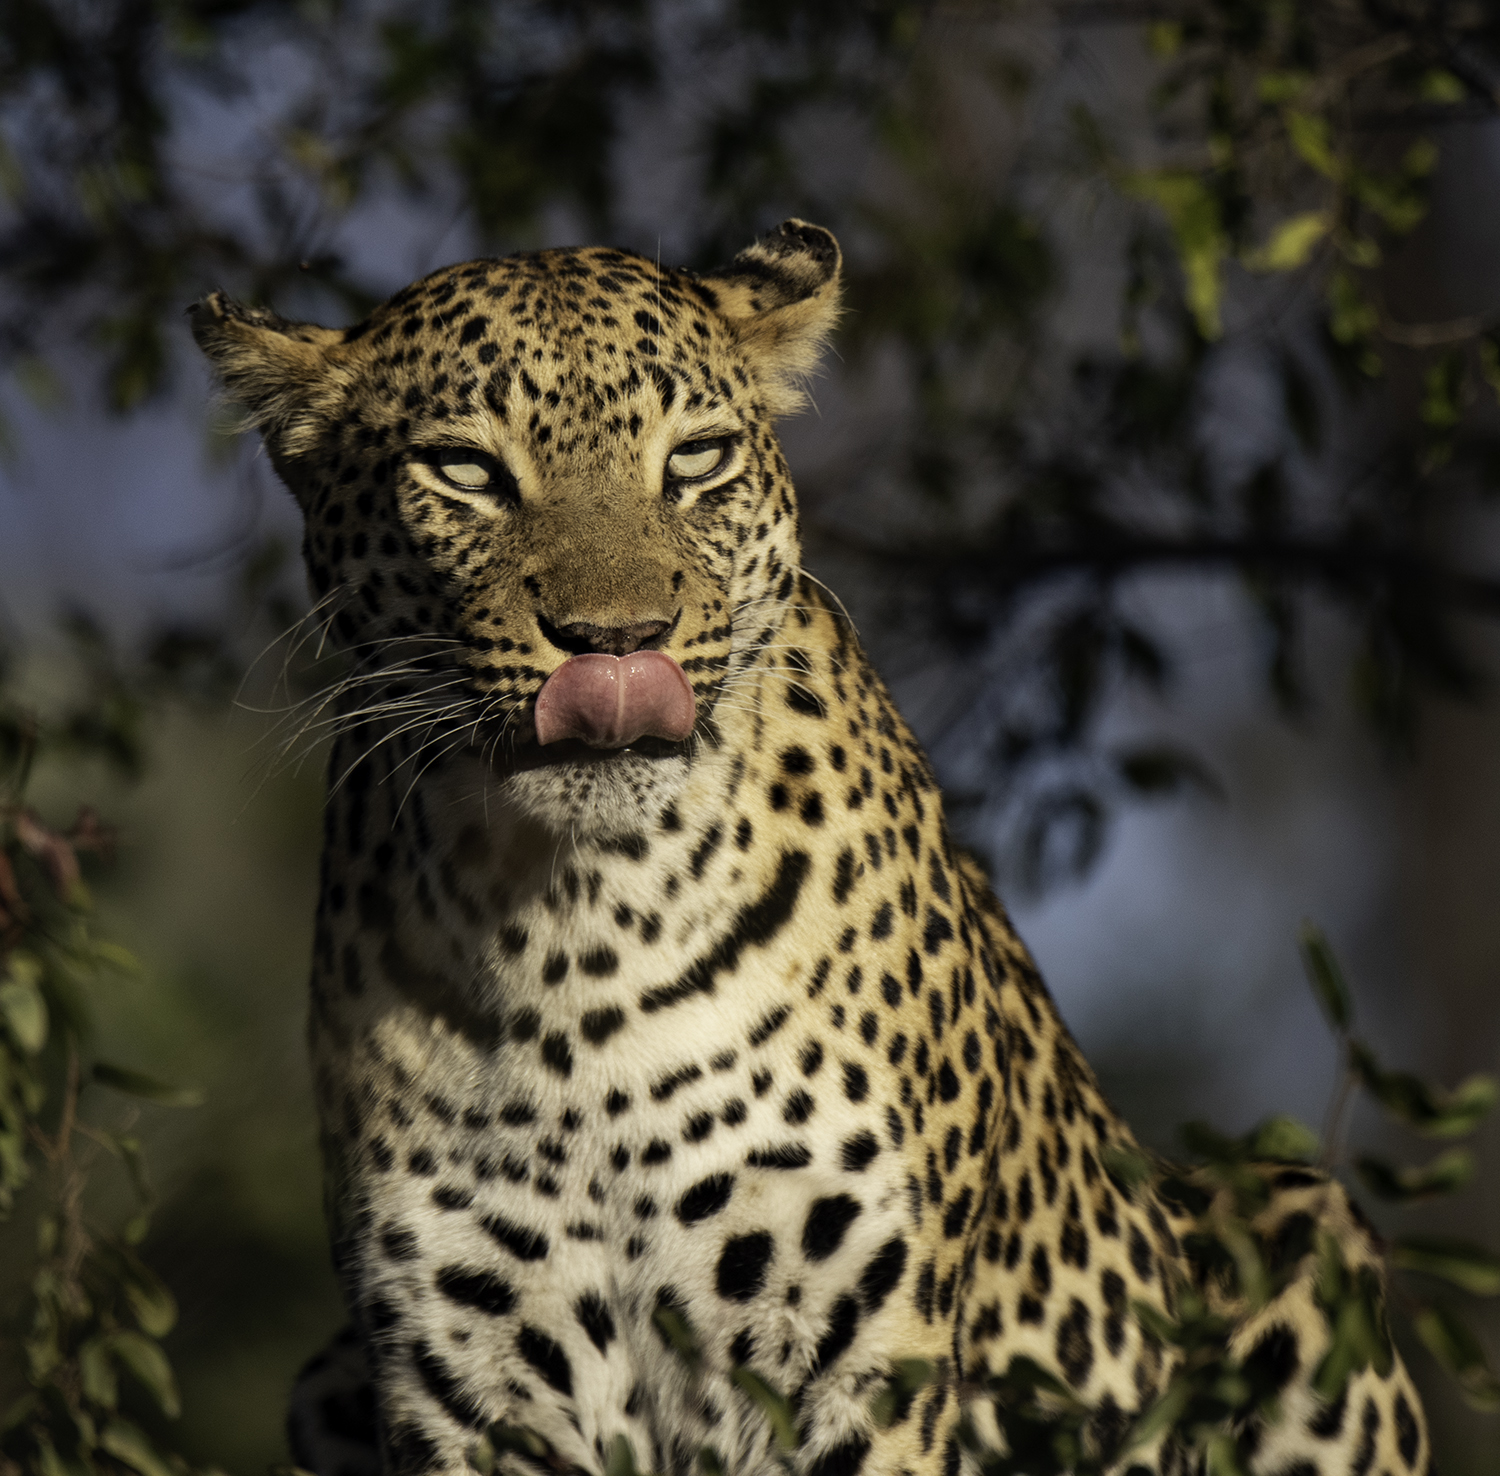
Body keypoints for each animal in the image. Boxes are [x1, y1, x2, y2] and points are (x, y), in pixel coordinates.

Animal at [191, 219, 1433, 1476]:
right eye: (466, 472)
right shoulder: (469, 1381)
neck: (570, 925)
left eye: (694, 460)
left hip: (1300, 1227)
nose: (618, 642)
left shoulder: (851, 1349)